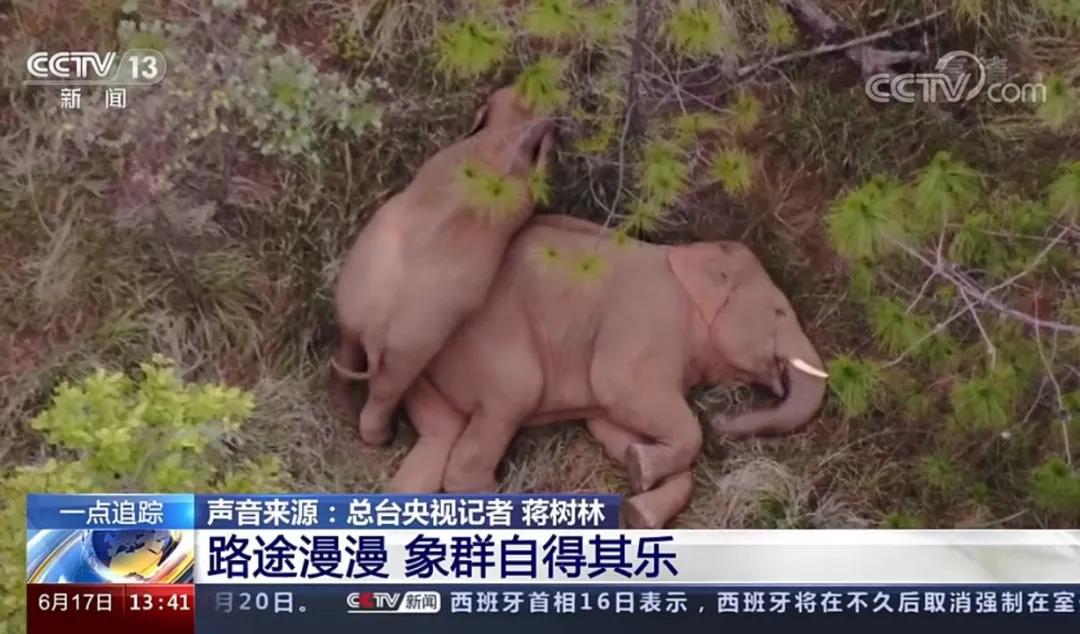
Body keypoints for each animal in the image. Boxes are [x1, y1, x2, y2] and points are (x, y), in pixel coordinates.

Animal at [332, 85, 557, 446]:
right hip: (410, 349)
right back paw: (382, 437)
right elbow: (538, 186)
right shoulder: (523, 192)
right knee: (386, 390)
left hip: (352, 305)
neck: (499, 138)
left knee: (347, 349)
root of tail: (375, 331)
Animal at [387, 214, 829, 528]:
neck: (685, 257)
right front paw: (648, 466)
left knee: (438, 438)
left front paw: (638, 489)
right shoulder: (646, 323)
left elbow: (611, 427)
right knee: (508, 402)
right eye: (779, 312)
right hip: (494, 348)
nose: (723, 419)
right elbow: (624, 391)